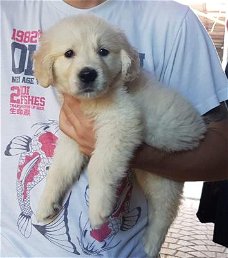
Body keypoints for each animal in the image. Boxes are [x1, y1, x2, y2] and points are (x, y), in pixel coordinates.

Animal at [33, 14, 207, 258]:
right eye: (68, 53)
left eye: (103, 51)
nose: (88, 74)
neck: (92, 102)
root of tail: (199, 129)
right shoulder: (72, 139)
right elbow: (59, 170)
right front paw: (46, 204)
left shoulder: (121, 122)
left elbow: (99, 166)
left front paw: (98, 209)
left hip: (166, 177)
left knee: (165, 212)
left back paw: (151, 243)